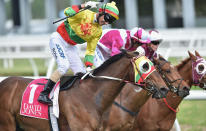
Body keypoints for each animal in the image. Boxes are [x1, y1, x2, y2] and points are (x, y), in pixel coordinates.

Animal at [0, 49, 167, 130]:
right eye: (145, 66)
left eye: (153, 64)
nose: (164, 88)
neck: (91, 96)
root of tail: (4, 82)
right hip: (7, 124)